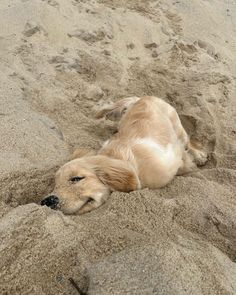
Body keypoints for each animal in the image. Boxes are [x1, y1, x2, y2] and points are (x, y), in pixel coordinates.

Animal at [41, 97, 207, 215]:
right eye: (55, 185)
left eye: (76, 179)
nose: (47, 201)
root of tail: (143, 97)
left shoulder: (173, 155)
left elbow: (185, 161)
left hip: (178, 128)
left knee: (187, 142)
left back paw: (200, 155)